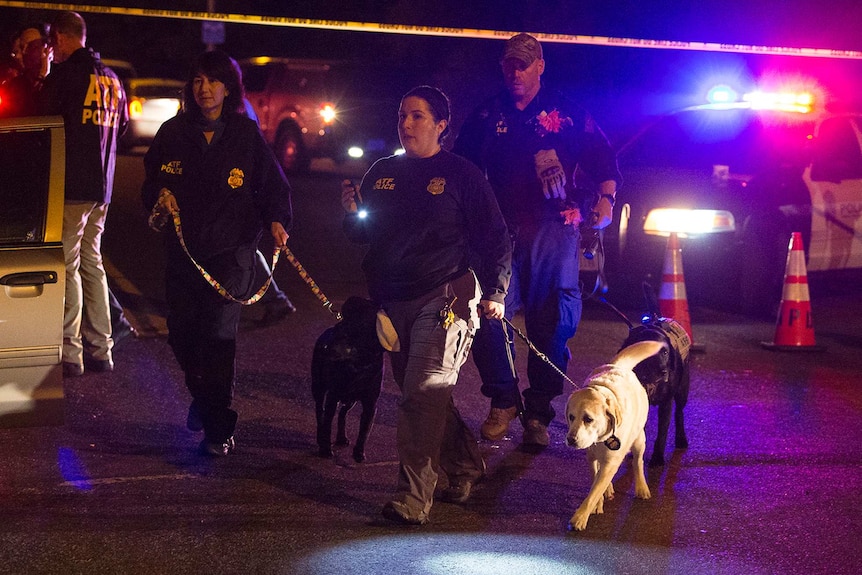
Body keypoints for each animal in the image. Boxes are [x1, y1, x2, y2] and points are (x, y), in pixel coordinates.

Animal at [314, 296, 384, 464]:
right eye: (336, 330)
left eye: (346, 336)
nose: (324, 348)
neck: (358, 366)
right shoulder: (332, 398)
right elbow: (327, 424)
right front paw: (326, 449)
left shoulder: (370, 404)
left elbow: (364, 431)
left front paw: (359, 453)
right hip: (318, 388)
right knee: (320, 412)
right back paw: (321, 438)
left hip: (350, 400)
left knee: (342, 413)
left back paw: (341, 437)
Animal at [572, 340, 664, 532]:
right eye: (571, 417)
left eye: (588, 419)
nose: (570, 440)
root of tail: (618, 366)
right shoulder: (591, 457)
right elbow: (595, 480)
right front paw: (598, 501)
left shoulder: (611, 461)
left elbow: (594, 491)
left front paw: (580, 516)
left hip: (639, 440)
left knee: (637, 462)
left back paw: (641, 487)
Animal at [620, 316, 696, 468]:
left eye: (665, 352)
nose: (664, 371)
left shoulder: (666, 403)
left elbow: (662, 432)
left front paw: (657, 458)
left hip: (682, 390)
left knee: (679, 412)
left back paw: (681, 439)